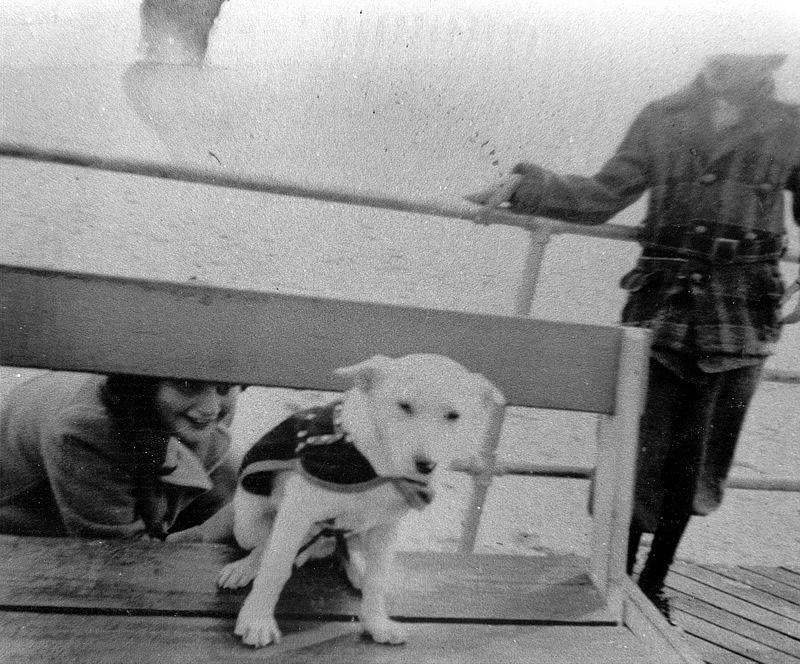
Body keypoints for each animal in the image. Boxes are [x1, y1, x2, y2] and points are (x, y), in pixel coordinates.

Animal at [212, 356, 500, 644]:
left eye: (454, 416)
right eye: (404, 406)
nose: (426, 466)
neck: (376, 467)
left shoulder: (387, 528)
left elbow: (377, 579)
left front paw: (375, 621)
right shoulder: (297, 513)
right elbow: (275, 568)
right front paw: (257, 619)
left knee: (346, 553)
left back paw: (356, 570)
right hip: (248, 522)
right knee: (265, 545)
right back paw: (247, 566)